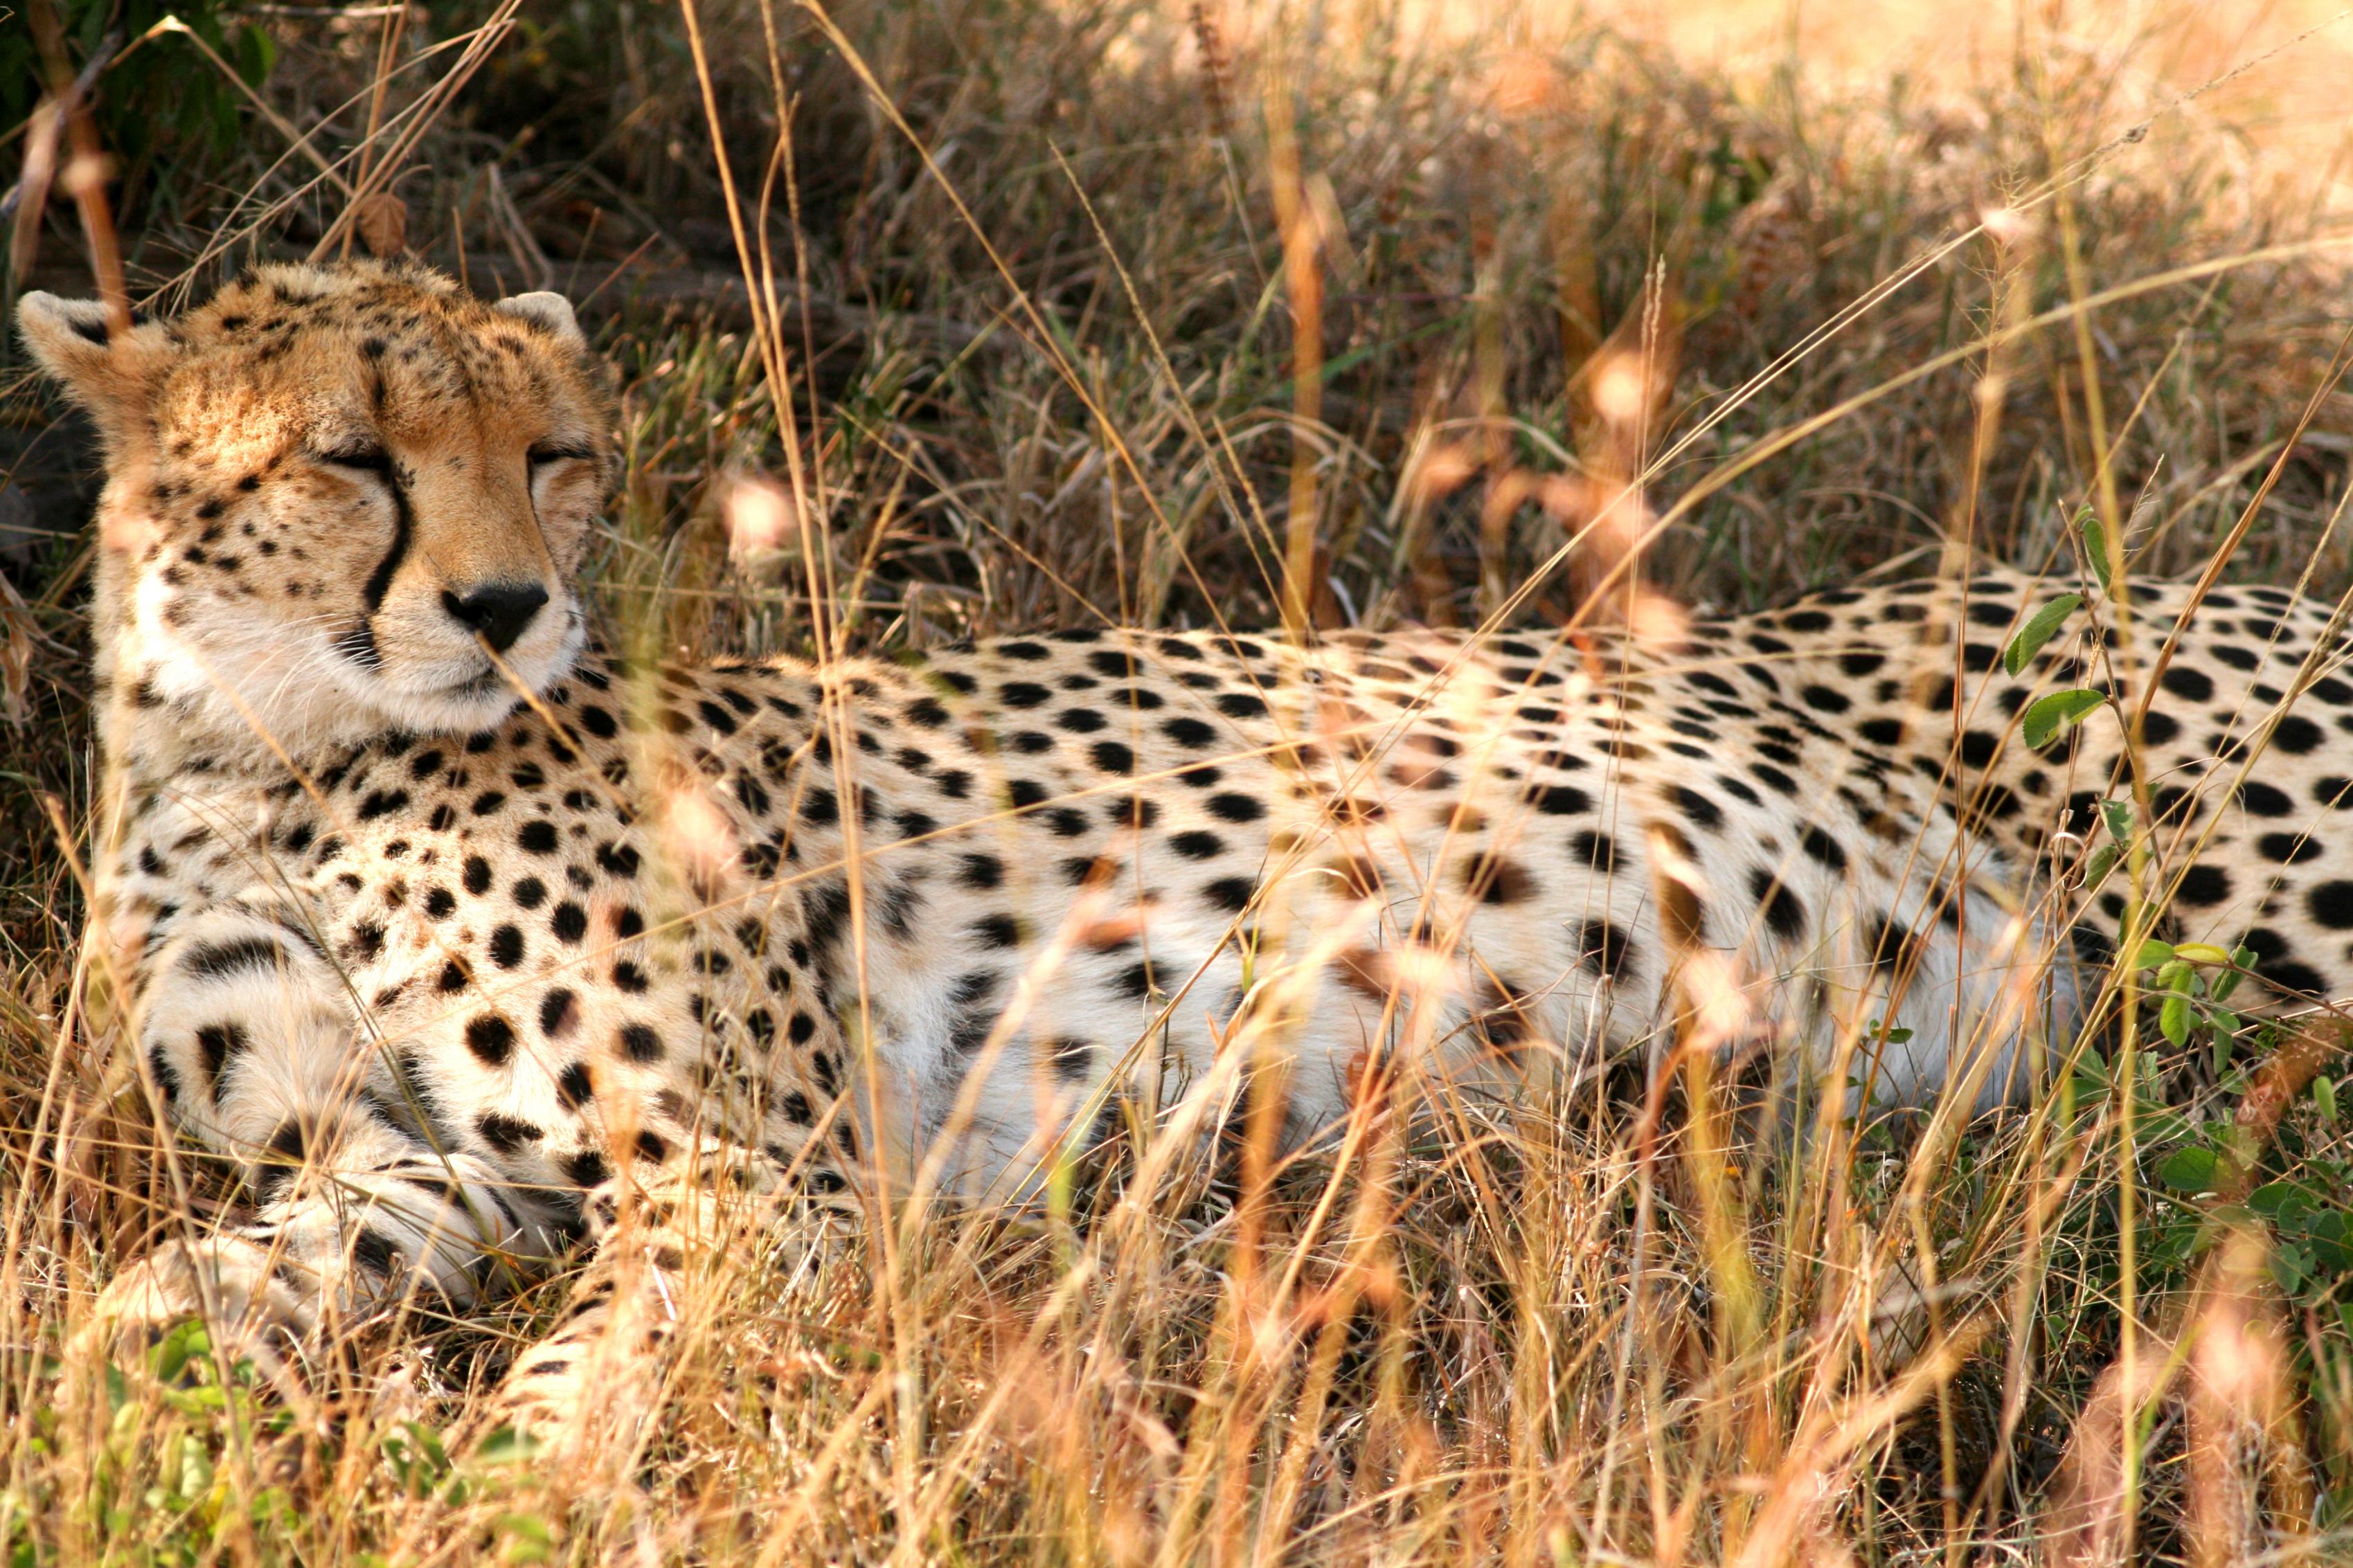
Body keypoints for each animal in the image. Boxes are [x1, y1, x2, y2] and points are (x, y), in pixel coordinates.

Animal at [18, 263, 2353, 1429]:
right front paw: (104, 1388)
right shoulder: (425, 1160)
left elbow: (576, 1392)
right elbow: (220, 1273)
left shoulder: (766, 1183)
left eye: (561, 451)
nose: (509, 608)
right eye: (354, 454)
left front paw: (500, 1480)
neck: (256, 744)